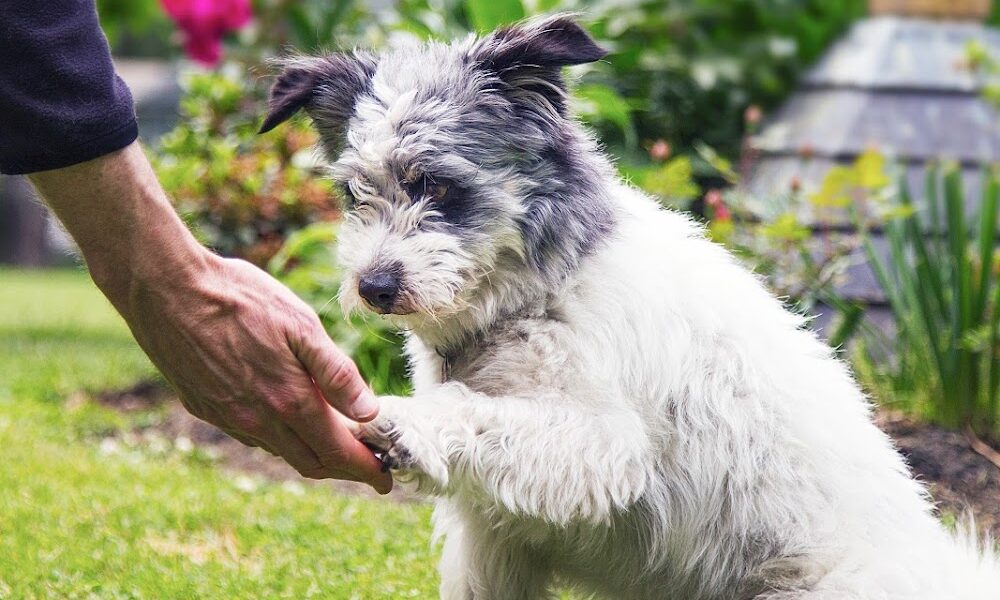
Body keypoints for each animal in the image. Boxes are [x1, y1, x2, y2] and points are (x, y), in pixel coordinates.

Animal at [262, 15, 1000, 600]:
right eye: (356, 193)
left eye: (437, 185)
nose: (373, 286)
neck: (535, 300)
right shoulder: (495, 540)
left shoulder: (603, 446)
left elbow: (477, 413)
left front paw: (406, 421)